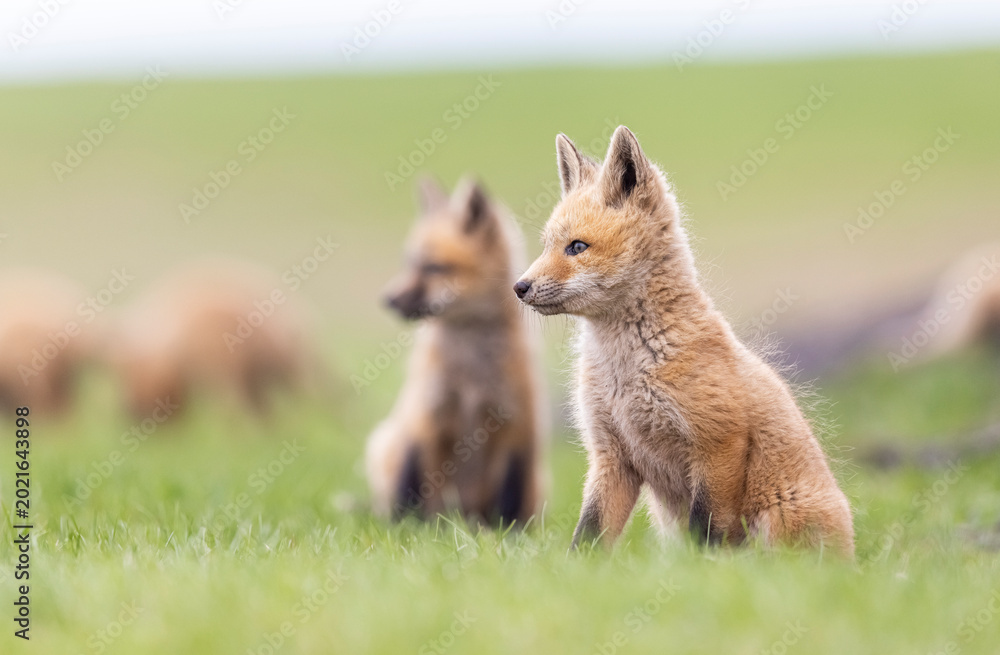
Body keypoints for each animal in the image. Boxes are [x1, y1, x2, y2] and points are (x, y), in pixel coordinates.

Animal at [365, 176, 547, 526]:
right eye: (410, 264)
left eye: (434, 268)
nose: (387, 300)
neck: (470, 374)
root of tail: (464, 514)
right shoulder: (425, 417)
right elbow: (411, 485)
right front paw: (406, 528)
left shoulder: (517, 425)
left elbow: (510, 496)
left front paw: (510, 533)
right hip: (384, 444)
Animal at [514, 126, 854, 556]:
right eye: (546, 247)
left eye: (577, 247)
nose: (519, 287)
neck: (624, 375)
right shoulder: (611, 455)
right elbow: (588, 534)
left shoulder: (718, 444)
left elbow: (706, 531)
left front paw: (703, 569)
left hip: (776, 526)